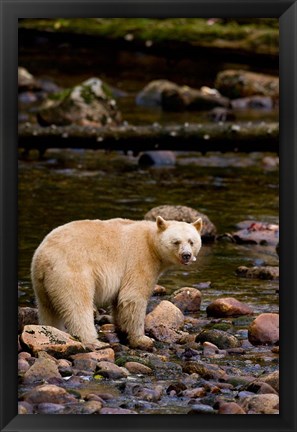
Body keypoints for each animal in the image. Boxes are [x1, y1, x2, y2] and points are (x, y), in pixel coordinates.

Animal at [31, 215, 202, 348]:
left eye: (191, 241)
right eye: (176, 241)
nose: (186, 255)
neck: (151, 243)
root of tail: (43, 257)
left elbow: (120, 302)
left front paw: (122, 332)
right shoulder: (140, 259)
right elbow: (133, 297)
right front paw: (142, 339)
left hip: (42, 282)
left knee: (48, 309)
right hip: (71, 271)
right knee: (77, 305)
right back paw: (93, 341)